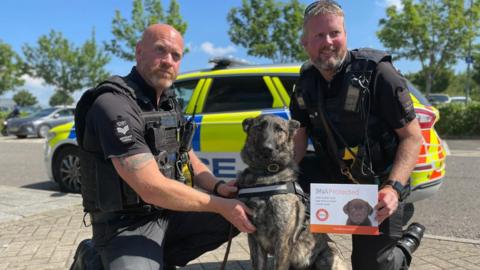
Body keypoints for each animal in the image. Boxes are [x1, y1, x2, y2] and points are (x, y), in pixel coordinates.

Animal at [237, 114, 346, 270]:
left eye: (279, 130)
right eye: (259, 127)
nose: (267, 149)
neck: (265, 175)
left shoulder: (283, 241)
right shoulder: (254, 239)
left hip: (328, 255)